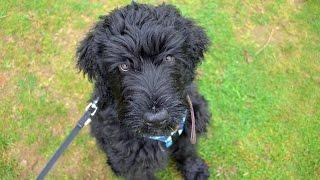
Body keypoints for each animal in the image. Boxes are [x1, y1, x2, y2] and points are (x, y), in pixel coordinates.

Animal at [76, 2, 211, 180]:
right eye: (124, 66)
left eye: (169, 57)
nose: (156, 119)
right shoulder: (133, 159)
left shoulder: (189, 125)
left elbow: (187, 150)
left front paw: (195, 170)